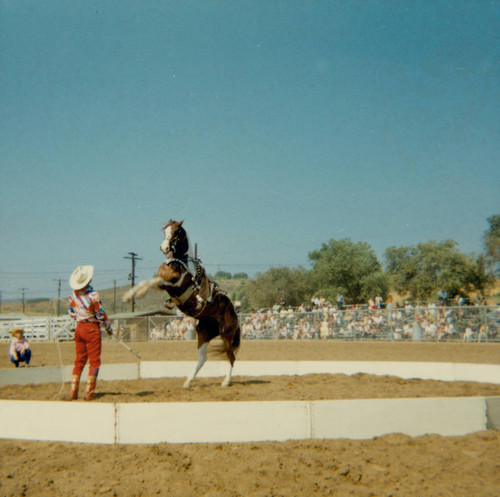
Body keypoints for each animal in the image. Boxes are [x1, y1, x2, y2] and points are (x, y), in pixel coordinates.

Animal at [123, 220, 240, 388]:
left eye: (176, 232)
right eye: (164, 231)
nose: (164, 247)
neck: (180, 263)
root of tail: (234, 312)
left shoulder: (172, 283)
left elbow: (150, 282)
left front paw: (136, 294)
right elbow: (146, 282)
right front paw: (129, 295)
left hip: (226, 335)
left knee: (231, 357)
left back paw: (226, 381)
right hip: (203, 332)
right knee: (202, 358)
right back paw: (188, 381)